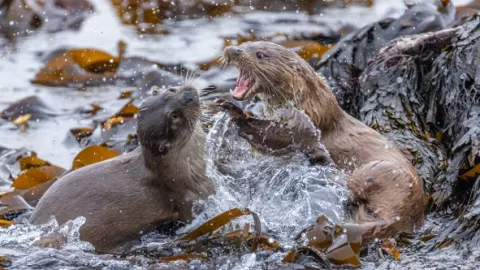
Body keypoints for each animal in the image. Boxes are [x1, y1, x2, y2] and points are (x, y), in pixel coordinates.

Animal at [218, 41, 424, 244]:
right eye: (245, 44)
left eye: (260, 55)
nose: (232, 50)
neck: (312, 107)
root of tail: (403, 215)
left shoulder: (301, 129)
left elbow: (272, 137)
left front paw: (235, 112)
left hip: (384, 171)